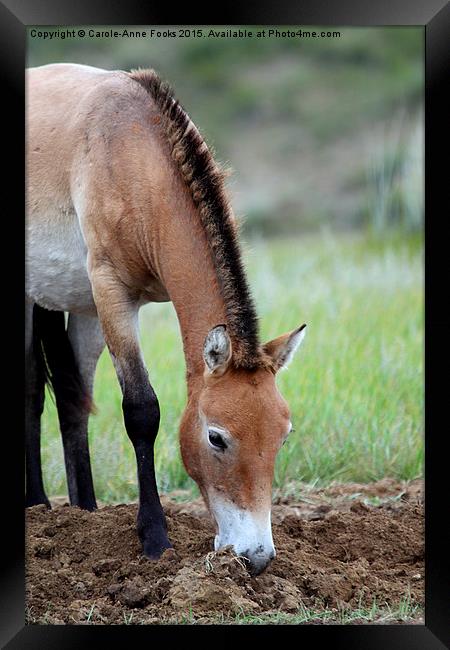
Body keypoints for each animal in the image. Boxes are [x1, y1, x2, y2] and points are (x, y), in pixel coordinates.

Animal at [24, 63, 306, 576]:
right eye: (216, 438)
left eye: (283, 436)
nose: (256, 557)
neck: (133, 155)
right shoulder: (112, 294)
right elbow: (141, 411)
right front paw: (155, 540)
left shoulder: (95, 305)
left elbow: (78, 401)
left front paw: (89, 521)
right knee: (32, 388)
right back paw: (36, 504)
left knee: (68, 397)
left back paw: (80, 511)